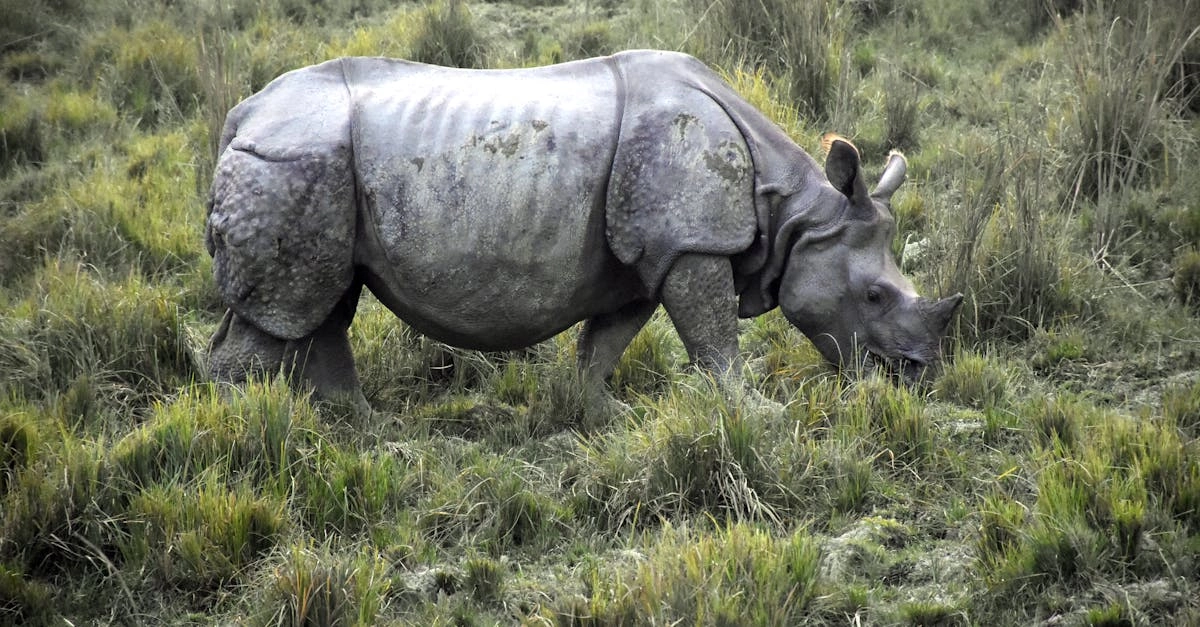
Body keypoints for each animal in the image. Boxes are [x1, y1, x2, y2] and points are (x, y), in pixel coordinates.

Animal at [205, 50, 962, 412]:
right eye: (874, 297)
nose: (918, 376)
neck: (794, 214)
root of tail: (239, 116)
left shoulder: (643, 256)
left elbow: (605, 342)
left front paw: (602, 417)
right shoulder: (690, 241)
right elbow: (715, 340)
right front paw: (760, 415)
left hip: (318, 174)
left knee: (319, 303)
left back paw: (362, 431)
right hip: (296, 162)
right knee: (289, 312)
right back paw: (245, 440)